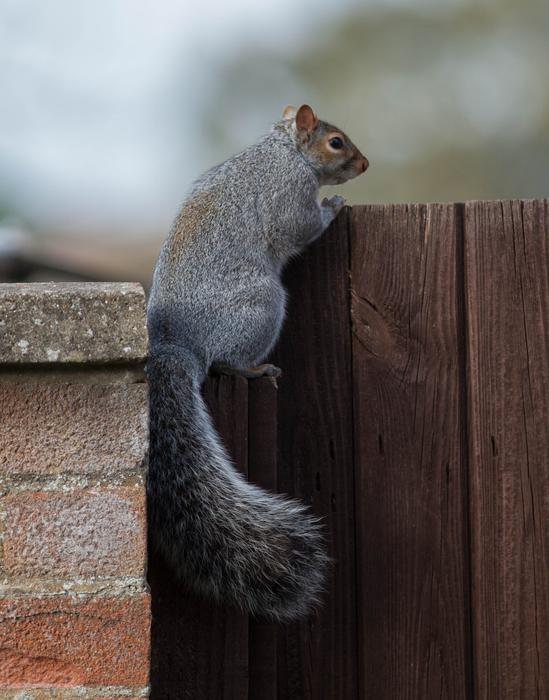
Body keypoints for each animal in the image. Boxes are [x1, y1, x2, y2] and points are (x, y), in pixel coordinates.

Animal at [147, 104, 368, 622]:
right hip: (263, 305)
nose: (365, 164)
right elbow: (301, 226)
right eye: (335, 142)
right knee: (223, 362)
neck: (283, 150)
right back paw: (252, 369)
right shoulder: (289, 192)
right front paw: (333, 207)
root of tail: (177, 345)